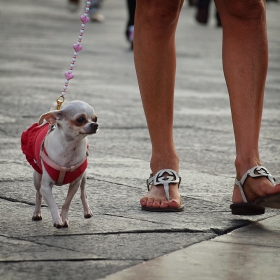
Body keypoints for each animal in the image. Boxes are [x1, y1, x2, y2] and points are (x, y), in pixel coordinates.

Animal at [20, 100, 98, 228]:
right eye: (81, 119)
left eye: (95, 119)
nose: (95, 125)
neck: (71, 148)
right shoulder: (46, 187)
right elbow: (52, 204)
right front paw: (57, 220)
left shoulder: (75, 184)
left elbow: (67, 203)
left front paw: (64, 218)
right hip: (37, 177)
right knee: (38, 194)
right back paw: (37, 213)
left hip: (83, 177)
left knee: (83, 193)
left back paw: (87, 211)